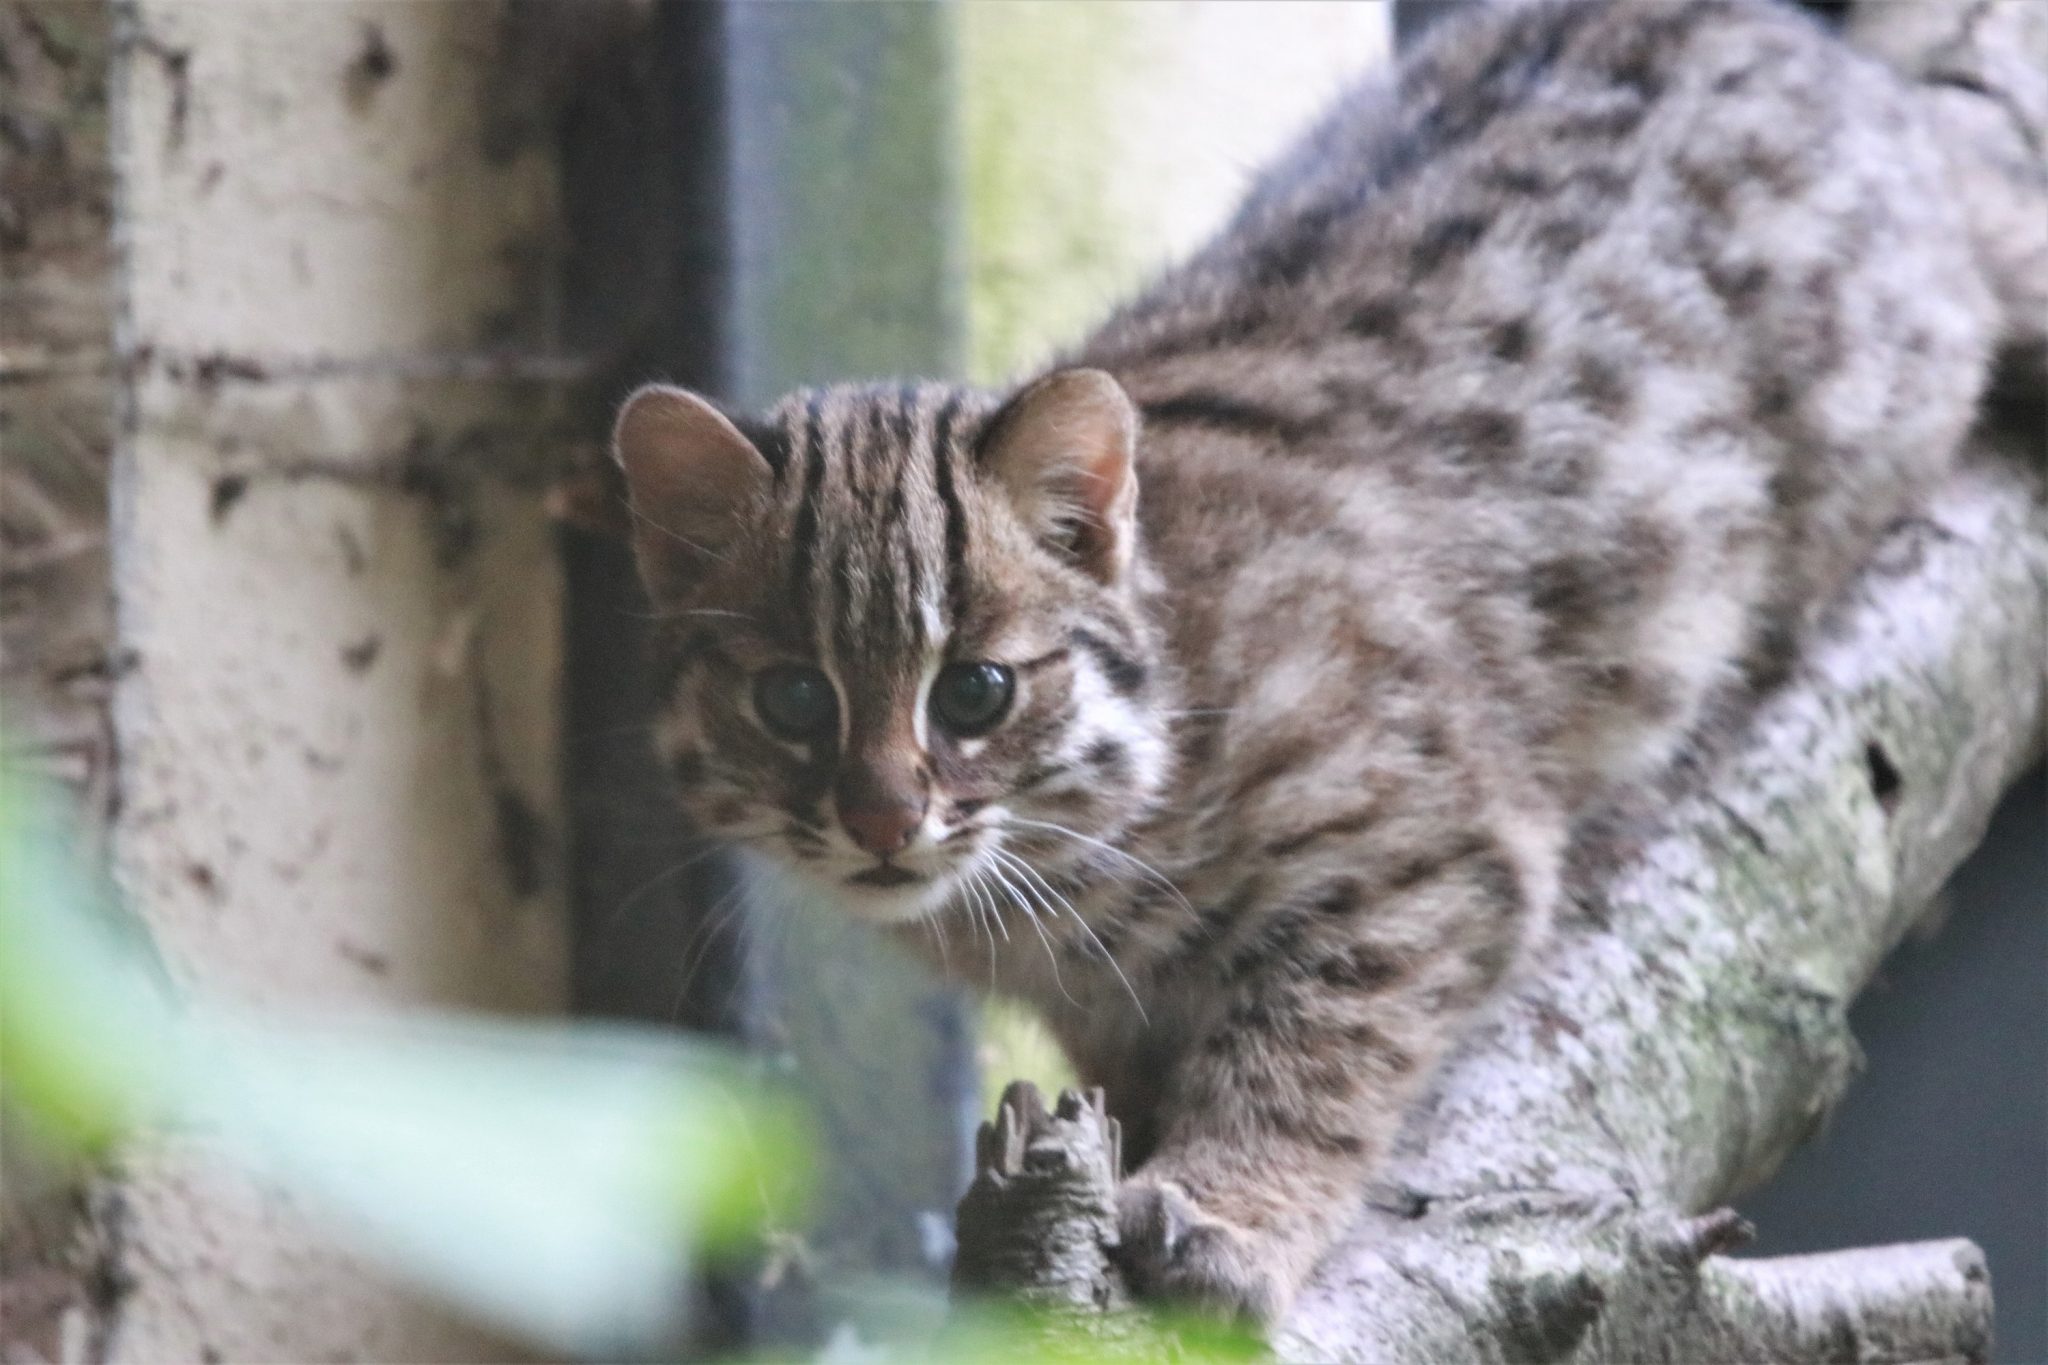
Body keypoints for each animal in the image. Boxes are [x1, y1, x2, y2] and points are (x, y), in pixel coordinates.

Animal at [602, 0, 2031, 1326]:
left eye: (976, 692)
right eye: (792, 698)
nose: (882, 821)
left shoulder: (1425, 848)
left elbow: (1315, 1052)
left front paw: (1228, 1210)